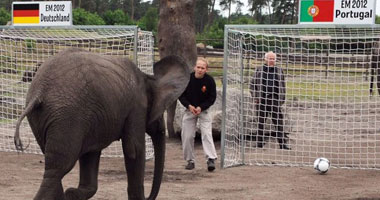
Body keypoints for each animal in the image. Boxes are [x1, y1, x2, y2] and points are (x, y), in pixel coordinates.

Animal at [14, 47, 190, 199]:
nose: (149, 197)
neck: (148, 78)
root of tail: (39, 92)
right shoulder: (136, 108)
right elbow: (133, 149)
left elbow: (90, 154)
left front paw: (71, 194)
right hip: (66, 116)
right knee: (58, 168)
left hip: (48, 118)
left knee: (54, 167)